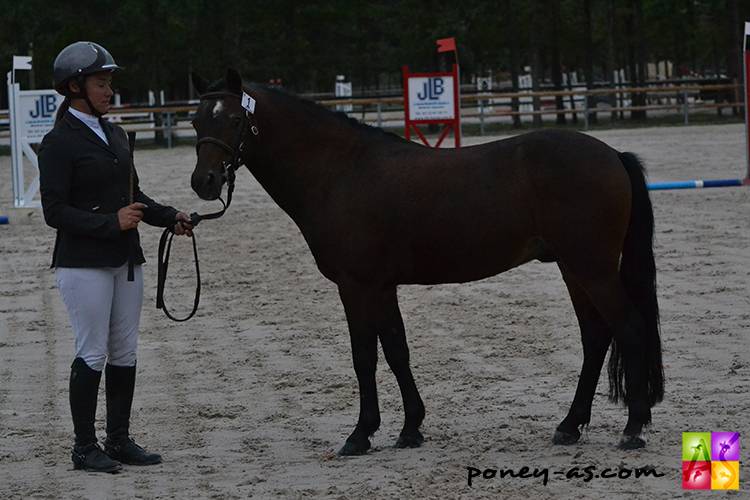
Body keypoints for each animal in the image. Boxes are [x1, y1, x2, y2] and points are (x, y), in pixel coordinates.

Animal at [188, 68, 664, 455]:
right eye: (196, 121)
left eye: (235, 119)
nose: (204, 182)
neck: (339, 172)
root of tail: (612, 155)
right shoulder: (382, 286)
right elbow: (397, 350)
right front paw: (410, 428)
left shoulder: (356, 285)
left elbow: (364, 355)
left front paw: (360, 435)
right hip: (573, 269)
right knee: (596, 336)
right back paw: (569, 425)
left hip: (593, 268)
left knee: (628, 327)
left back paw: (633, 428)